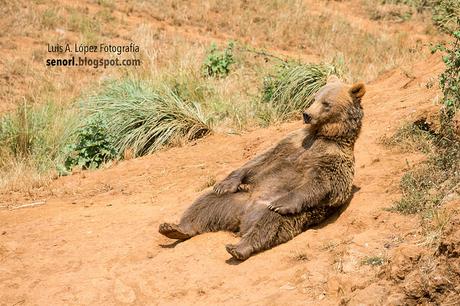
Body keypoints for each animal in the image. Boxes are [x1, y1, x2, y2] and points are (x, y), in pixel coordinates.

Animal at [159, 76, 366, 260]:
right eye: (314, 97)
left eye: (326, 103)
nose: (307, 114)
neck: (323, 135)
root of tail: (242, 220)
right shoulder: (293, 143)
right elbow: (260, 160)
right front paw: (224, 183)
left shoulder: (332, 160)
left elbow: (321, 183)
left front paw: (282, 203)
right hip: (236, 199)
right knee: (204, 203)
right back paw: (175, 228)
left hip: (291, 215)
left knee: (270, 222)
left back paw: (238, 247)